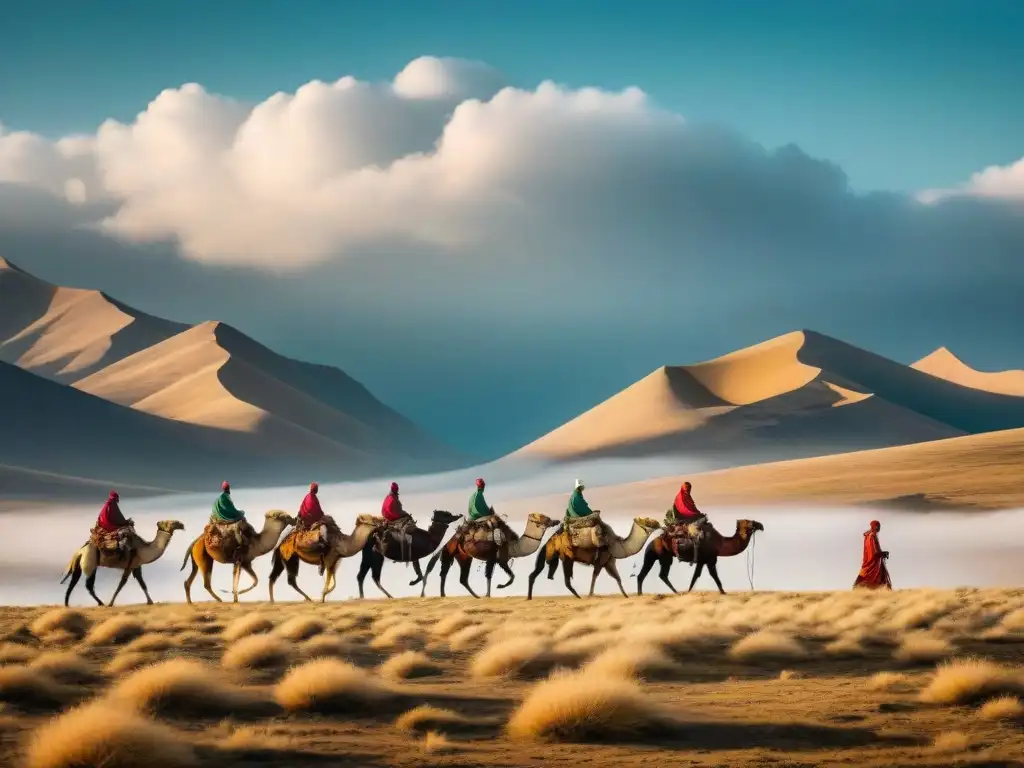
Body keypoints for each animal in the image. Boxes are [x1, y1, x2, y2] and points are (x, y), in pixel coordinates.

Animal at [413, 514, 561, 606]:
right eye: (545, 519)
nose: (556, 521)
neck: (513, 545)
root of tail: (456, 534)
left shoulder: (500, 560)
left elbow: (510, 576)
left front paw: (496, 588)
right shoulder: (495, 558)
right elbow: (493, 575)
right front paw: (492, 592)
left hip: (463, 556)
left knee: (459, 577)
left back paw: (468, 596)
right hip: (450, 550)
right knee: (442, 570)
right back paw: (436, 594)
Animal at [528, 518, 663, 602]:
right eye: (649, 521)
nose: (660, 525)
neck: (616, 545)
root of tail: (550, 540)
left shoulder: (609, 563)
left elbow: (618, 578)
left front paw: (626, 596)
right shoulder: (600, 562)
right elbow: (594, 577)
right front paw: (590, 595)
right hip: (566, 557)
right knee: (566, 580)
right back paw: (579, 597)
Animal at [634, 520, 765, 598]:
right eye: (750, 522)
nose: (761, 525)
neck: (720, 543)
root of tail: (652, 542)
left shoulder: (702, 561)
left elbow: (695, 576)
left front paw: (688, 591)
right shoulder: (710, 559)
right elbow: (714, 576)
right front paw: (723, 592)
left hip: (653, 556)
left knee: (644, 574)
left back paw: (641, 594)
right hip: (664, 556)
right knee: (662, 574)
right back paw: (676, 592)